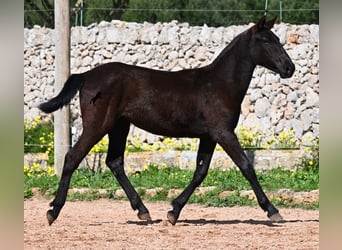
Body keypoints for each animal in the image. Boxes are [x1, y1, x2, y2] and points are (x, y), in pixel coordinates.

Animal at [39, 16, 294, 226]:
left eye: (278, 39)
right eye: (267, 41)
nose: (289, 68)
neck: (219, 84)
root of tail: (86, 76)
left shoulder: (209, 136)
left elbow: (200, 172)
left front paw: (174, 212)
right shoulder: (223, 133)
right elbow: (246, 166)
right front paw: (273, 211)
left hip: (119, 126)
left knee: (114, 162)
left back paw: (143, 211)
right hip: (98, 125)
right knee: (73, 158)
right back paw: (53, 211)